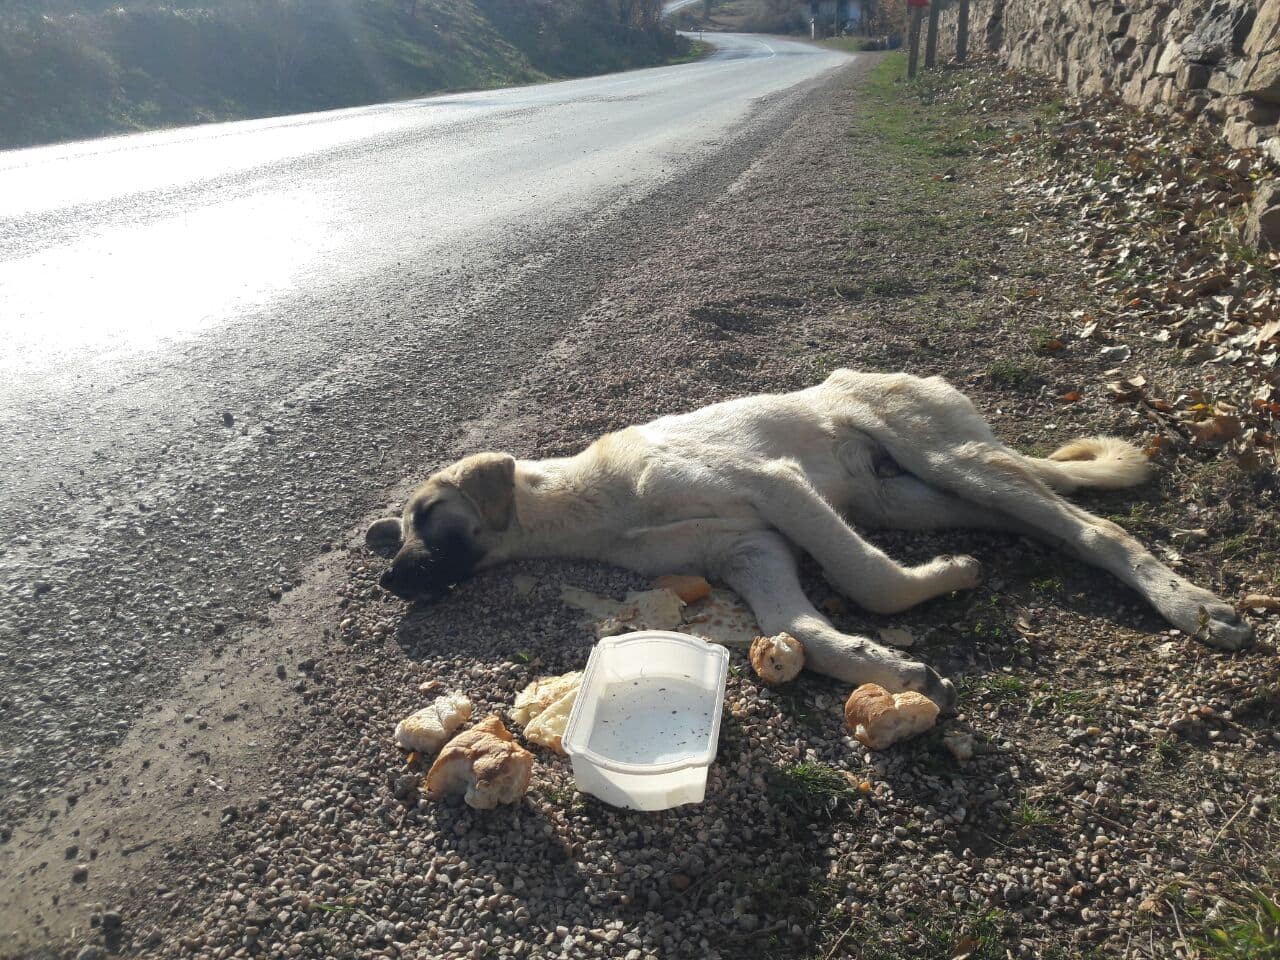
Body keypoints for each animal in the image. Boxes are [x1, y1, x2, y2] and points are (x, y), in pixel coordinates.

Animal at [371, 371, 1249, 711]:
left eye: (427, 517)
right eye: (398, 535)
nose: (387, 580)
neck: (598, 503)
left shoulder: (777, 485)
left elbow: (866, 580)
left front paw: (930, 594)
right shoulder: (751, 549)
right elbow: (800, 626)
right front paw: (889, 666)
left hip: (950, 457)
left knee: (1093, 526)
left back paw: (1194, 607)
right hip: (913, 498)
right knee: (1043, 522)